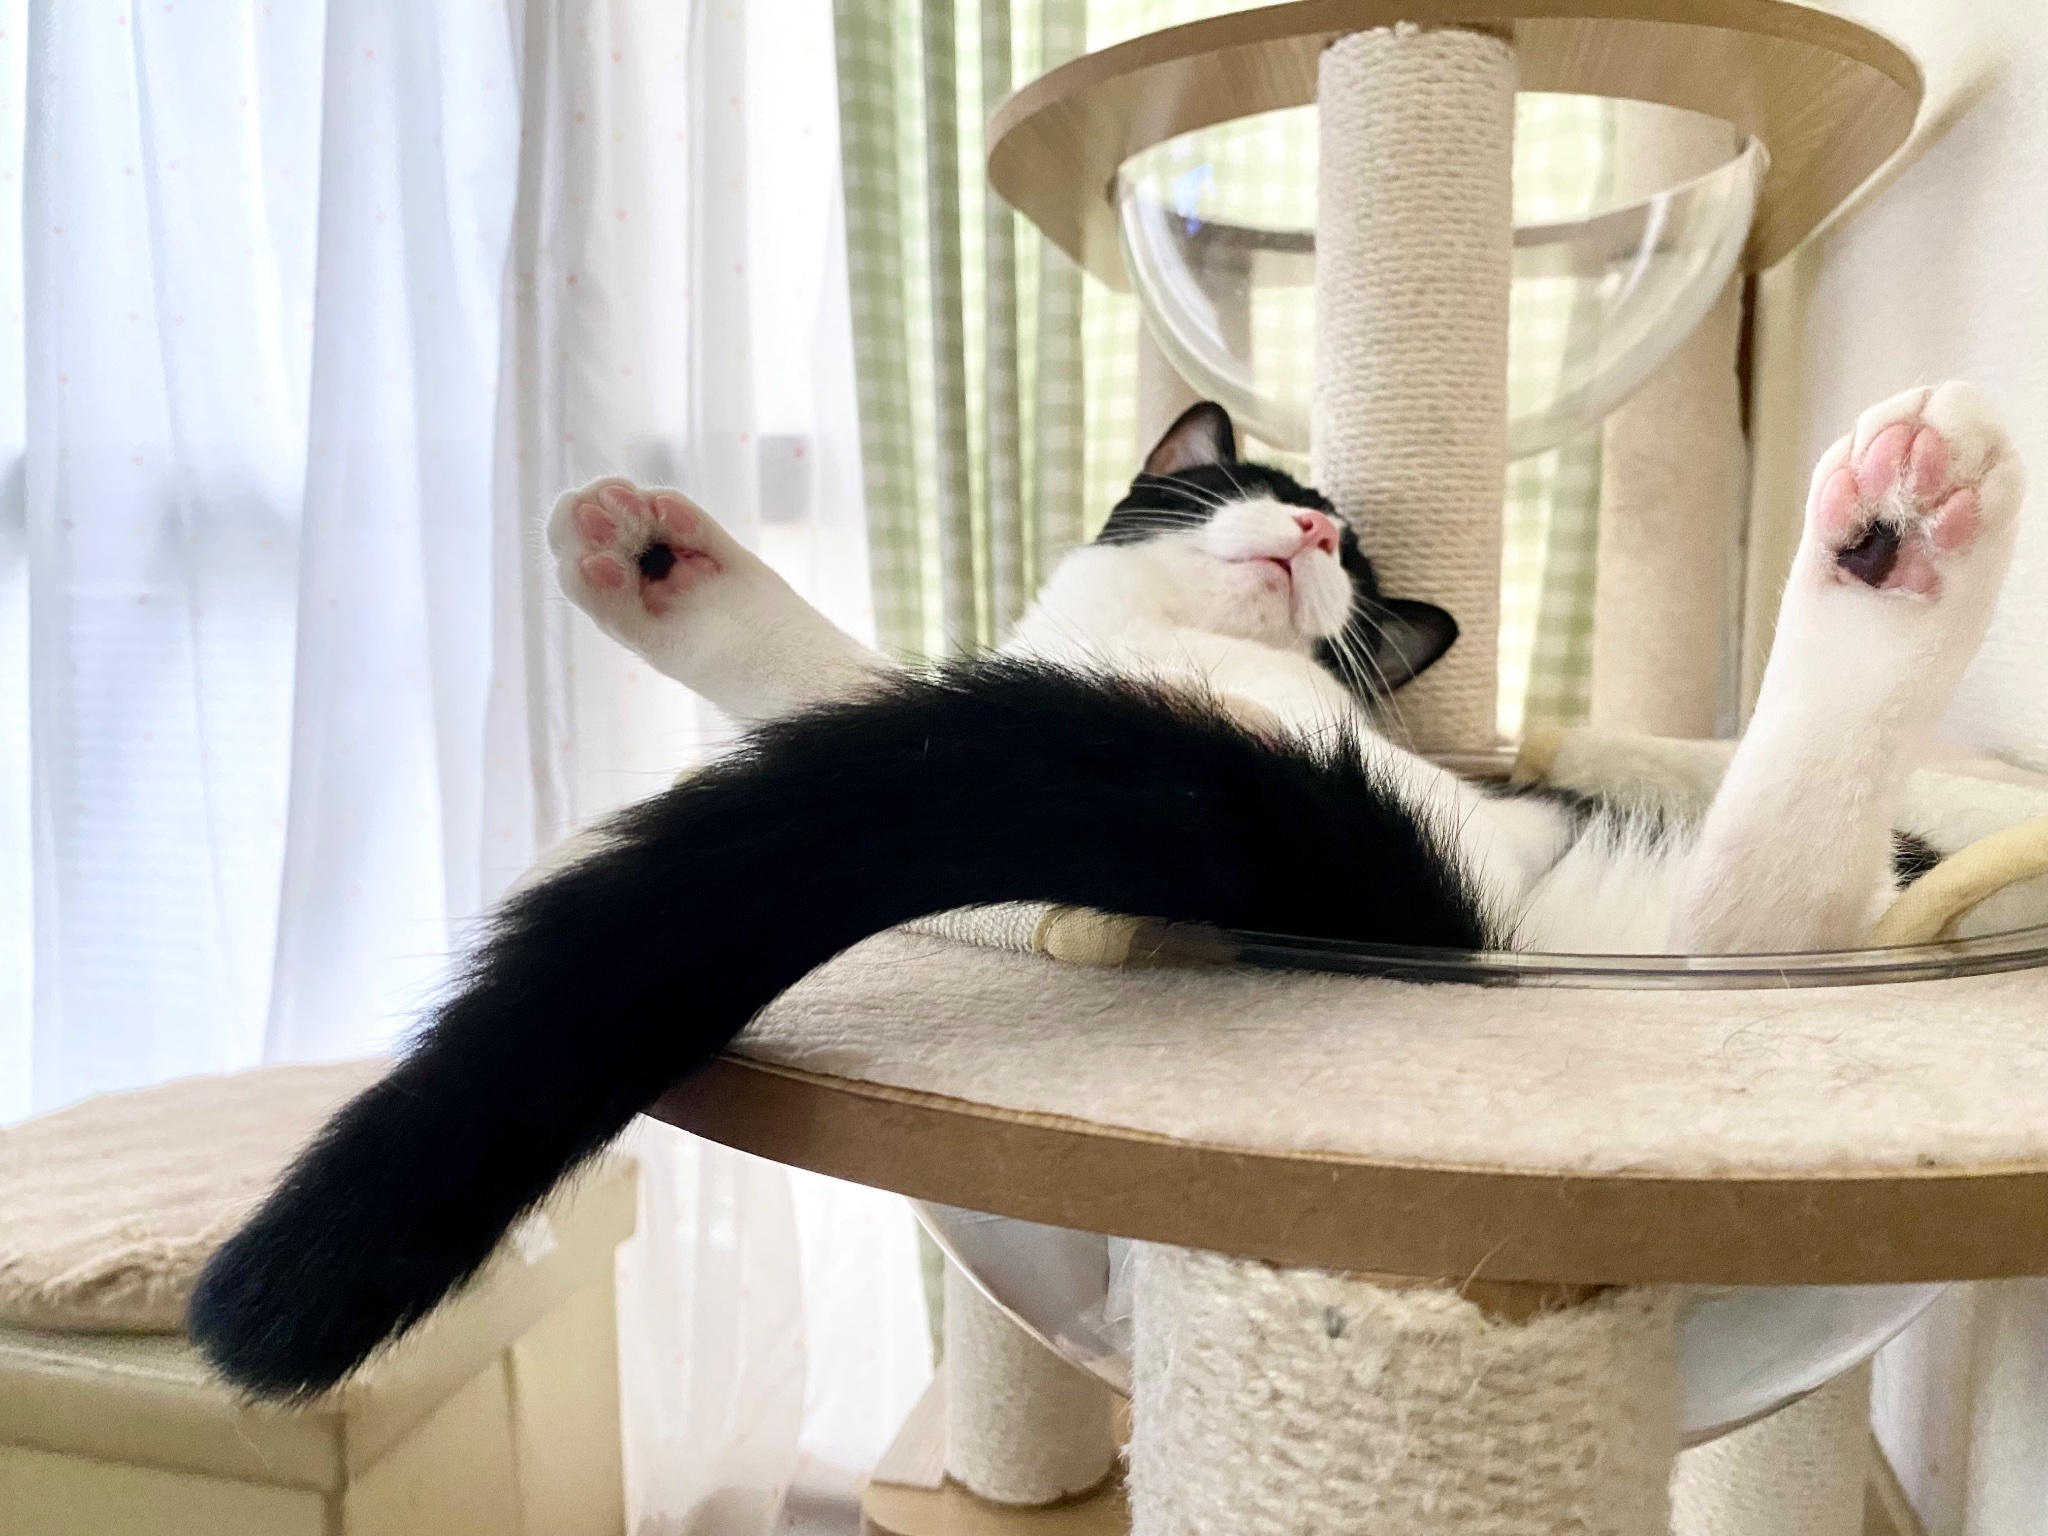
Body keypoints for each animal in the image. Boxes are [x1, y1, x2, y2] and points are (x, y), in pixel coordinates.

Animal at [189, 382, 2023, 1397]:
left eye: (1356, 565)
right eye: (1252, 487)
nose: (1309, 534)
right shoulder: (997, 756)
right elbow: (852, 695)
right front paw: (657, 567)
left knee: (1768, 903)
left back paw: (1893, 543)